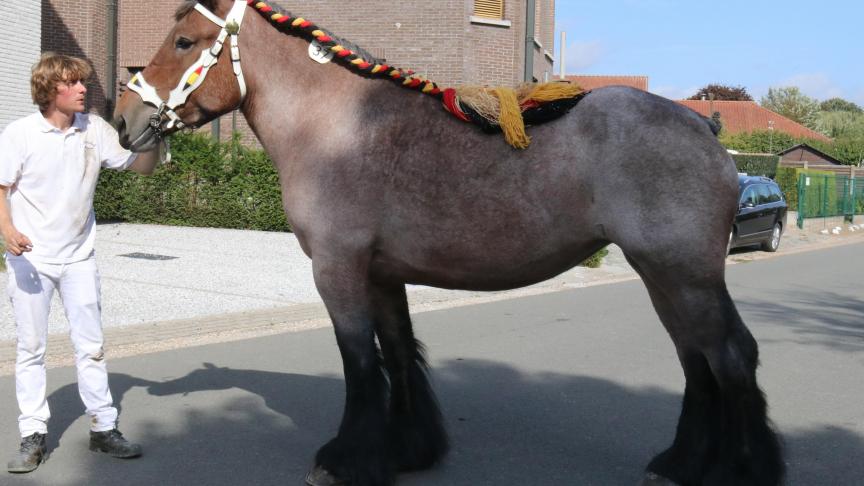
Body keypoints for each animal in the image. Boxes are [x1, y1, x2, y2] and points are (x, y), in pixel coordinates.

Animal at [113, 1, 784, 484]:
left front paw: (346, 460)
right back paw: (680, 464)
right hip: (661, 275)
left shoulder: (338, 270)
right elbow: (398, 355)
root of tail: (702, 127)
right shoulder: (383, 274)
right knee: (698, 361)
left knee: (730, 356)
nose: (123, 118)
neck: (332, 125)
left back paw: (741, 468)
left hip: (685, 276)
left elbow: (360, 364)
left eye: (183, 42)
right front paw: (408, 452)